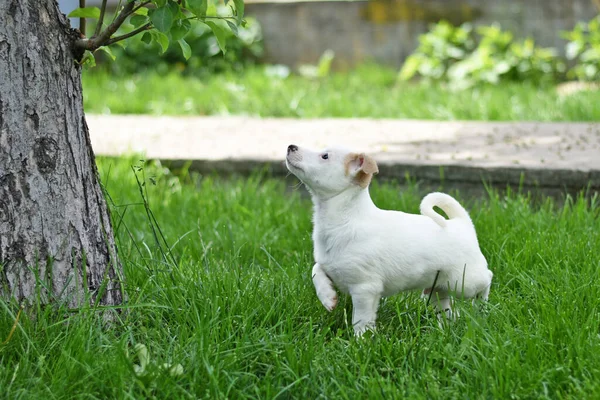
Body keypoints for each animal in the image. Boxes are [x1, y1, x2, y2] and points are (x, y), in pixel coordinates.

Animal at [286, 145, 492, 336]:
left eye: (325, 156)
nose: (291, 146)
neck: (345, 219)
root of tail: (461, 223)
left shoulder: (365, 289)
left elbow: (361, 318)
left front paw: (361, 340)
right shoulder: (329, 265)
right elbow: (316, 270)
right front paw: (328, 298)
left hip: (464, 282)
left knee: (487, 278)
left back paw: (481, 308)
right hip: (440, 287)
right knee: (447, 309)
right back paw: (444, 329)